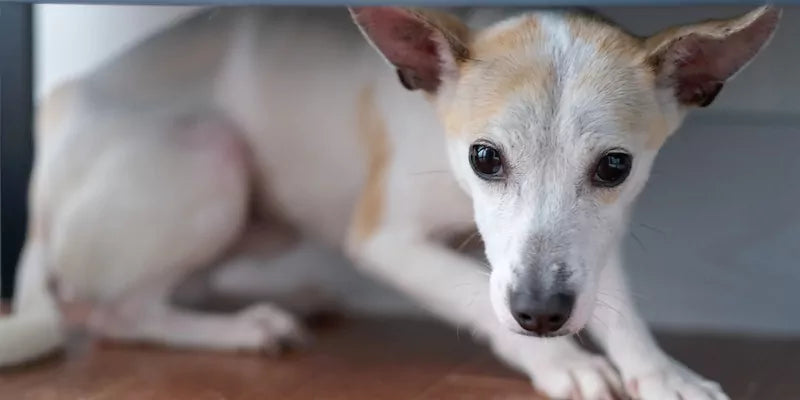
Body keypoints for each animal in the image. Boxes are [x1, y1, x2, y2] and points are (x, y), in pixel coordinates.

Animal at [0, 6, 780, 400]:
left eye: (616, 166)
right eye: (484, 159)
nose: (541, 314)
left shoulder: (593, 246)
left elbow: (617, 305)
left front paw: (659, 371)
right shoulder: (387, 241)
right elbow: (473, 293)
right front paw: (564, 364)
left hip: (259, 218)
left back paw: (284, 300)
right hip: (214, 161)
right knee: (108, 313)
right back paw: (245, 328)